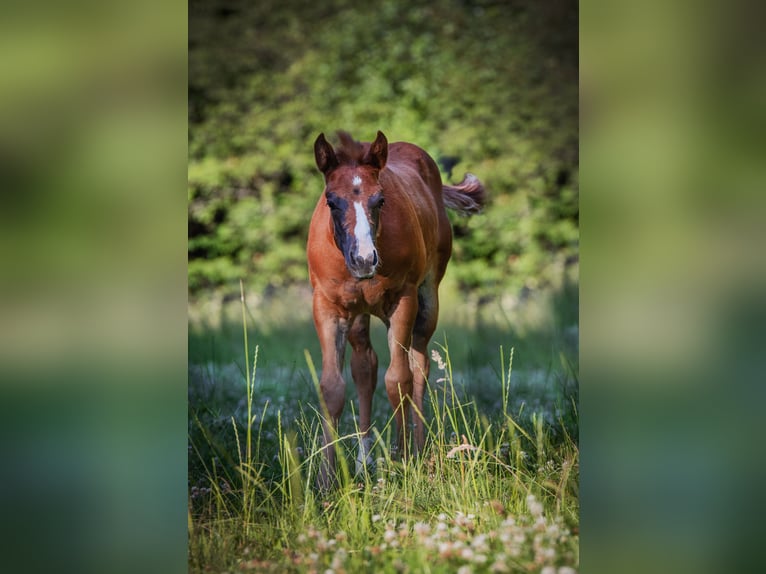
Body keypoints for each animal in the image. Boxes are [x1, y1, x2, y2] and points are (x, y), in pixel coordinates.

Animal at [307, 130, 486, 488]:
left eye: (380, 200)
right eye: (331, 201)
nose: (363, 260)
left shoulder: (404, 300)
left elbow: (398, 380)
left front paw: (403, 464)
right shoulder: (327, 307)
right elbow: (332, 387)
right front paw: (325, 481)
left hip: (427, 300)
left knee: (418, 366)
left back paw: (418, 452)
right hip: (358, 315)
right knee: (365, 367)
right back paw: (363, 463)